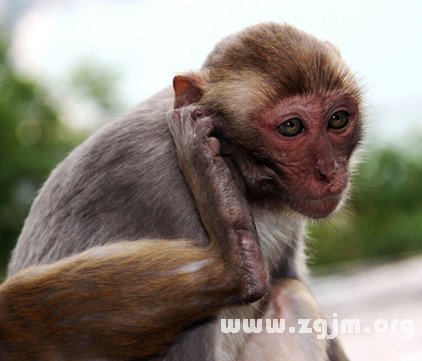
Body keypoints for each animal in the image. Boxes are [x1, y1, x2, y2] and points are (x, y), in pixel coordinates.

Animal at [1, 23, 362, 360]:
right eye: (291, 127)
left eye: (338, 119)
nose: (329, 172)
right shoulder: (167, 190)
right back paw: (233, 265)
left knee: (292, 294)